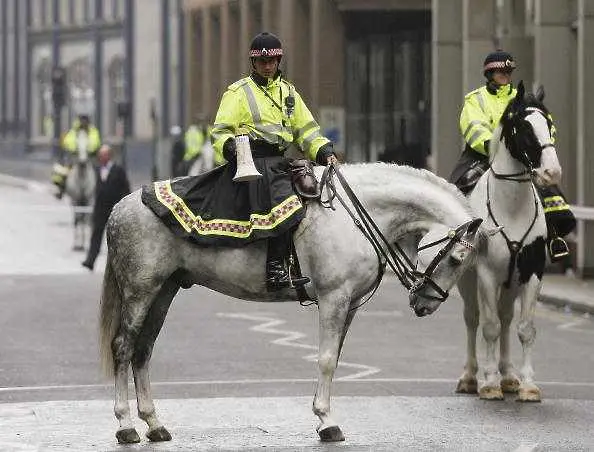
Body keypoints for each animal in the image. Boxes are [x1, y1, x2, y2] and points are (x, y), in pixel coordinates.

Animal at [98, 163, 486, 444]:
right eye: (456, 260)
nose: (425, 304)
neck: (354, 215)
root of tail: (118, 206)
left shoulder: (349, 305)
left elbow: (334, 359)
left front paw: (323, 415)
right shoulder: (333, 298)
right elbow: (326, 360)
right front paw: (327, 421)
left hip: (164, 291)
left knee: (143, 351)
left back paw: (154, 424)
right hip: (140, 292)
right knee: (124, 347)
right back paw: (125, 426)